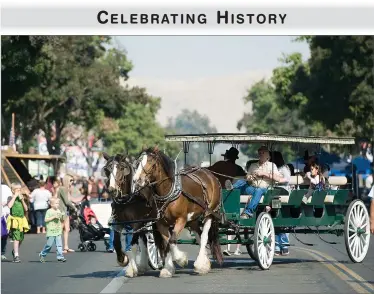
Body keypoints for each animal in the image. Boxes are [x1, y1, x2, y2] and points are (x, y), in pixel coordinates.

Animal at [133, 147, 224, 278]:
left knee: (204, 236)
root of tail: (210, 174)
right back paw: (204, 263)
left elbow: (172, 240)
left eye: (152, 163)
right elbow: (167, 243)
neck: (168, 191)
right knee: (198, 235)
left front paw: (181, 260)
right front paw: (168, 269)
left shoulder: (181, 219)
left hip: (210, 213)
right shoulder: (161, 223)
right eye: (138, 162)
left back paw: (201, 265)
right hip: (193, 219)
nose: (137, 180)